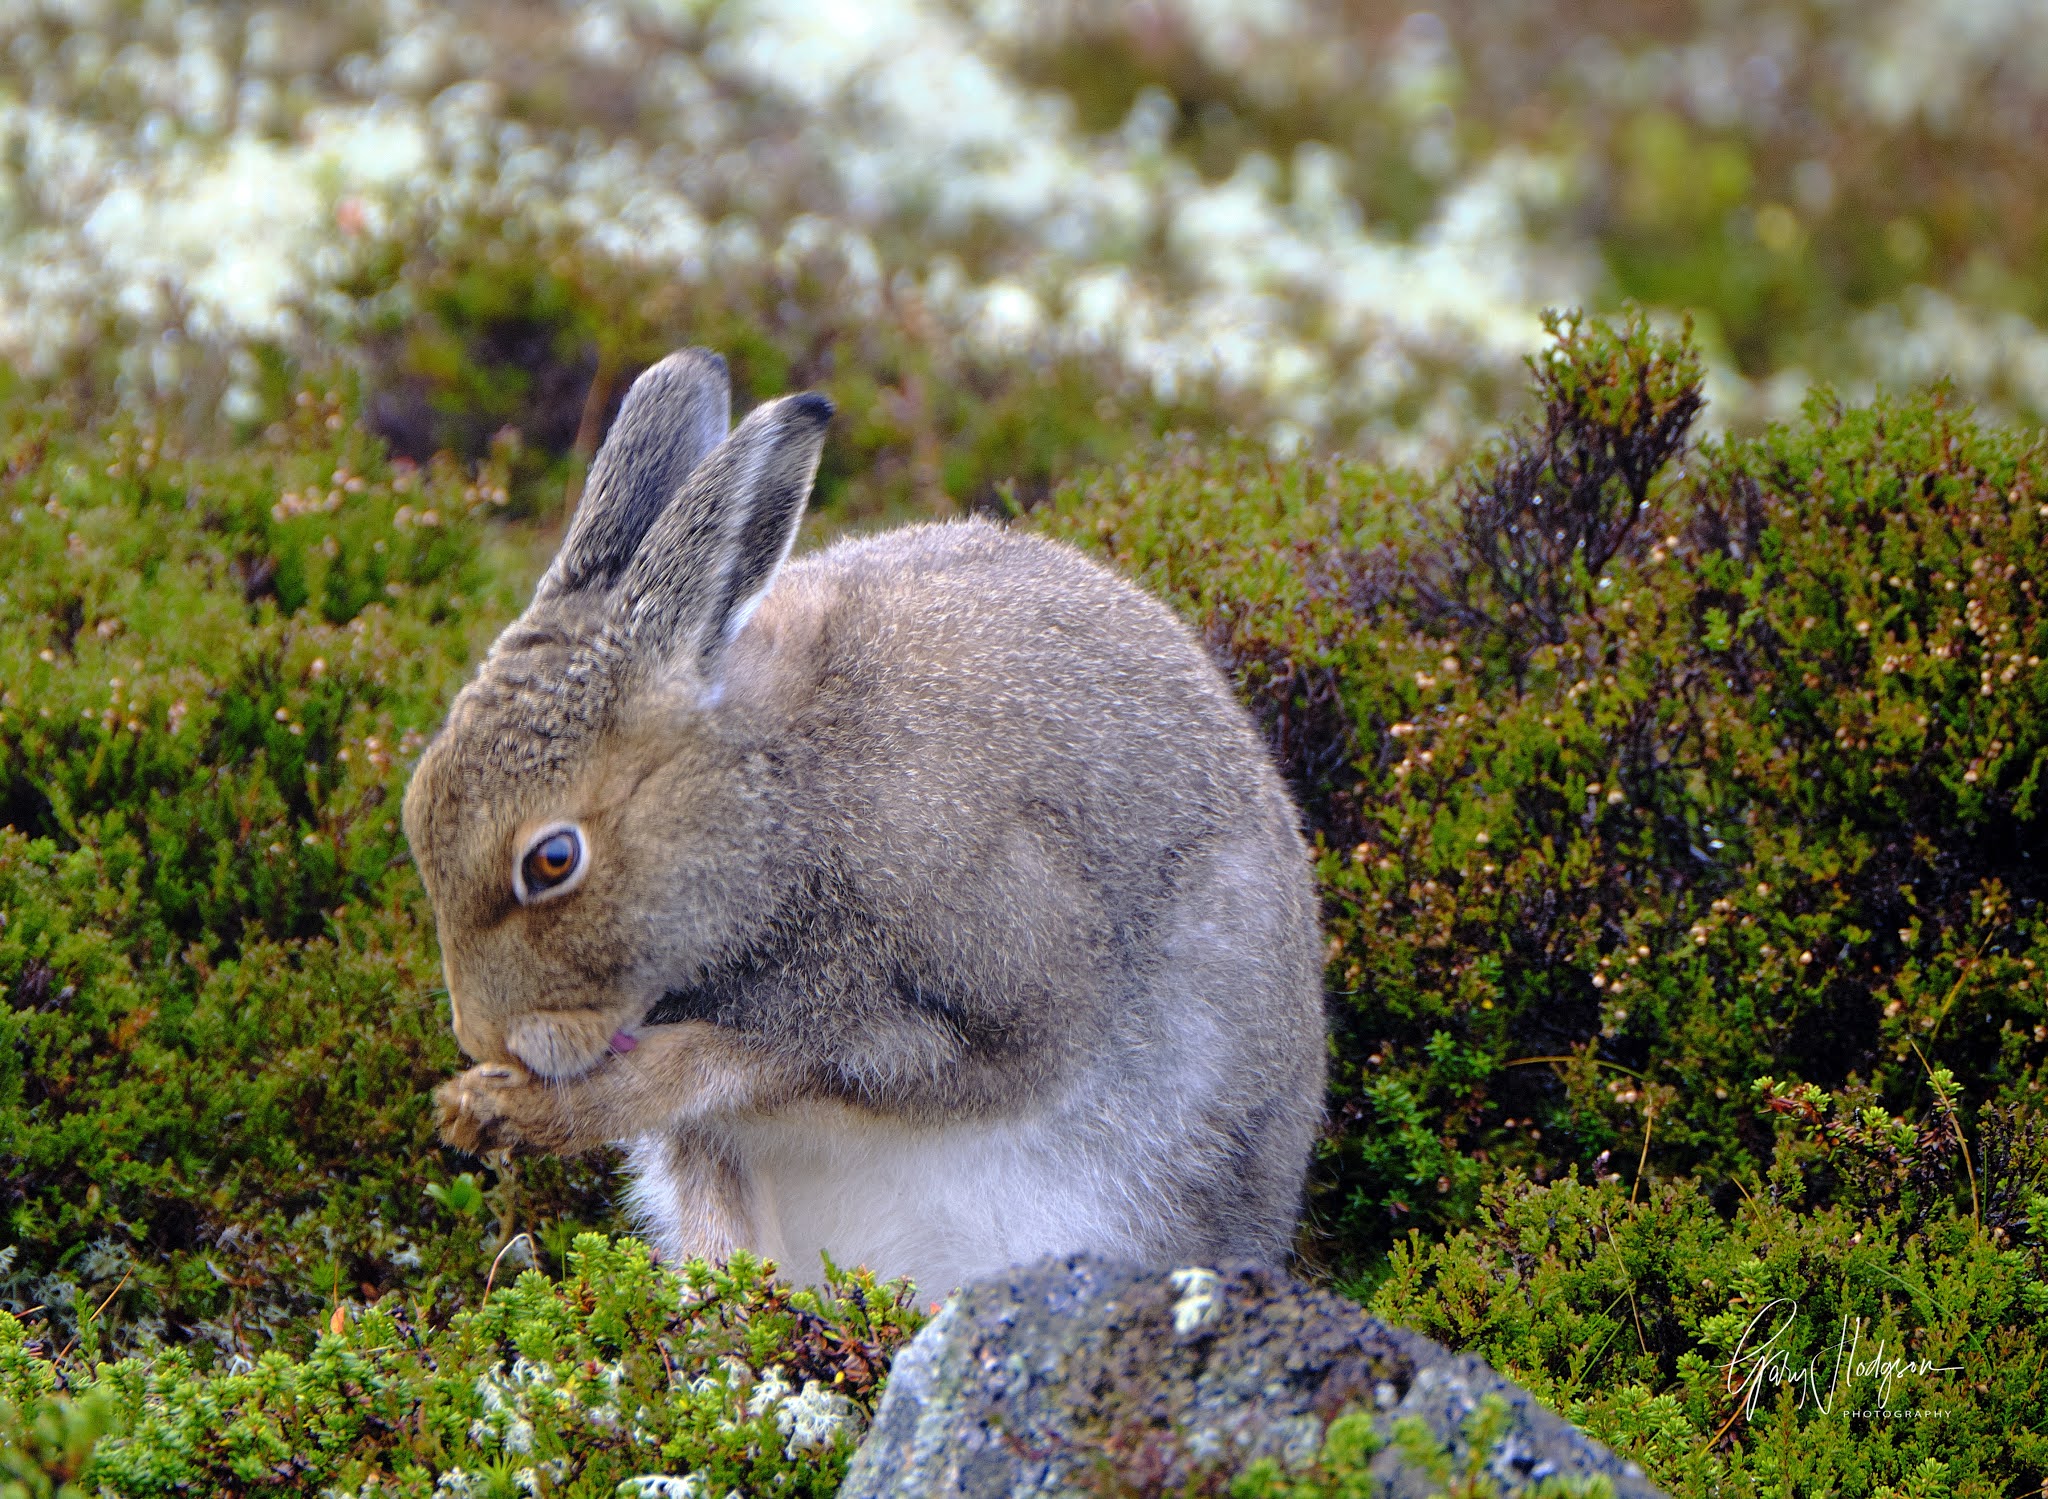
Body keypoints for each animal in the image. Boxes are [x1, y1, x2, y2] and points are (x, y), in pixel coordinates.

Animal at [404, 348, 1327, 1294]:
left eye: (553, 859)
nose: (480, 1036)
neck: (777, 804)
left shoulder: (990, 1005)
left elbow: (740, 1060)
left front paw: (520, 1106)